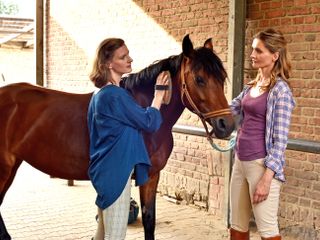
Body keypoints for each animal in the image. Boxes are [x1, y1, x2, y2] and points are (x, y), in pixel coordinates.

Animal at [0, 34, 235, 239]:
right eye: (199, 79)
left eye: (222, 78)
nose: (227, 124)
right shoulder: (143, 174)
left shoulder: (152, 176)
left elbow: (150, 220)